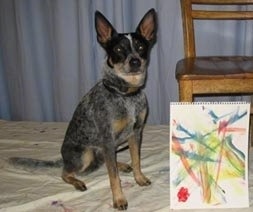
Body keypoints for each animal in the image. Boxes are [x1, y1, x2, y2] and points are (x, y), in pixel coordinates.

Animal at [11, 8, 156, 210]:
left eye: (141, 47)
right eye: (119, 49)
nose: (135, 61)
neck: (126, 94)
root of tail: (63, 157)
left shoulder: (136, 133)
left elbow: (136, 160)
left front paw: (139, 178)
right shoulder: (108, 138)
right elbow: (113, 177)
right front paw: (119, 199)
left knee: (105, 161)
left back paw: (121, 165)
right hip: (86, 155)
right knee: (67, 172)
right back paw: (78, 182)